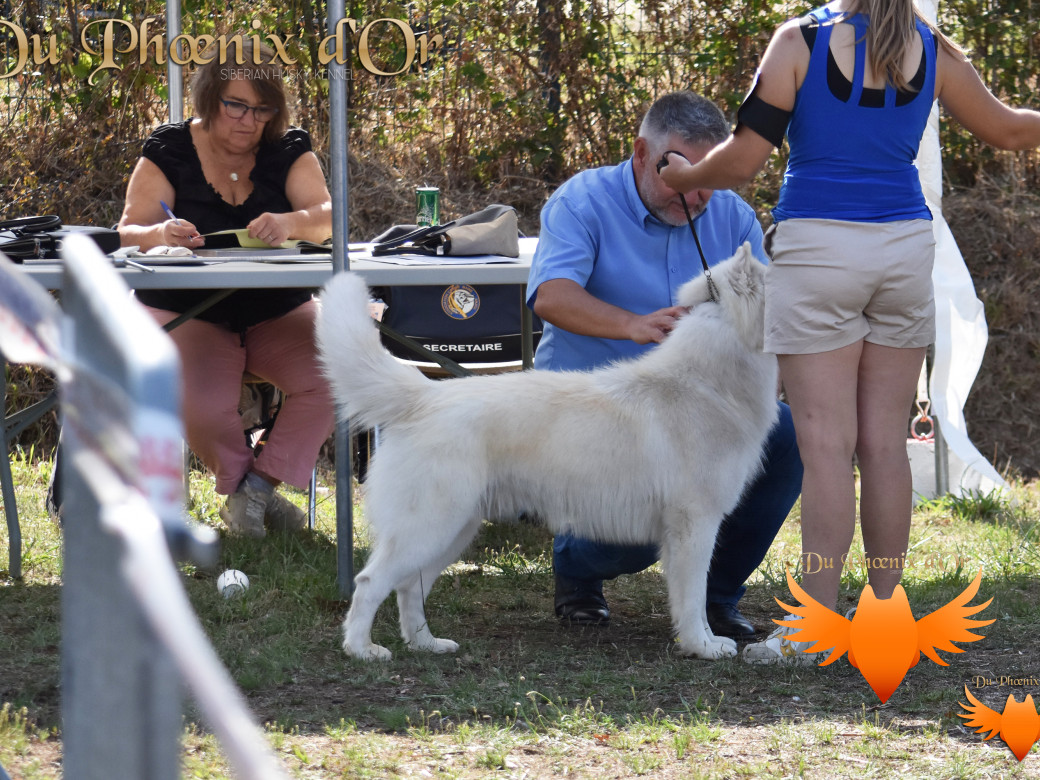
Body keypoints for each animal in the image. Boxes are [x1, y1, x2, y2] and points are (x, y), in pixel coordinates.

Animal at [320, 244, 777, 661]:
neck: (708, 381)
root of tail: (426, 396)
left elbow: (691, 597)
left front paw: (705, 641)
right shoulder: (694, 525)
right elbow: (693, 597)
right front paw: (703, 646)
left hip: (453, 531)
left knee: (408, 586)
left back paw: (425, 644)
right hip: (430, 526)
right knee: (371, 583)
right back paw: (362, 649)